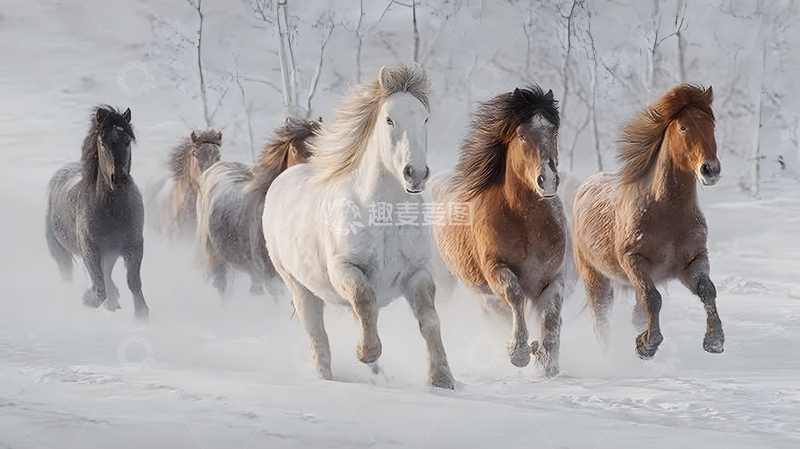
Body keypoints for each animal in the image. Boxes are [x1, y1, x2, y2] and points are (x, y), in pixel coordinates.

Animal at [45, 105, 149, 320]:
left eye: (127, 141)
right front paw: (100, 304)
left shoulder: (133, 246)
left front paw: (142, 314)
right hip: (62, 253)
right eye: (102, 142)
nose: (119, 178)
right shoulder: (91, 251)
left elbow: (133, 281)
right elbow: (101, 286)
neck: (113, 212)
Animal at [262, 65, 455, 389]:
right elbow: (365, 300)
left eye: (425, 118)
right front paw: (367, 352)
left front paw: (442, 379)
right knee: (318, 339)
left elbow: (430, 321)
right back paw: (330, 378)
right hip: (300, 288)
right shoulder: (345, 269)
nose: (415, 174)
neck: (384, 218)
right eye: (389, 119)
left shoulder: (417, 273)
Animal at [430, 86, 566, 377]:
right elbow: (515, 296)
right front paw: (520, 352)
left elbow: (551, 315)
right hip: (445, 278)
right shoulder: (496, 270)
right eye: (522, 135)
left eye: (554, 132)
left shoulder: (553, 277)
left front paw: (547, 361)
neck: (528, 225)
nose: (548, 180)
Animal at [571, 84, 724, 359]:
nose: (710, 170)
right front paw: (647, 345)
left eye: (711, 125)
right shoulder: (634, 260)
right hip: (595, 277)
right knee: (601, 321)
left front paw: (714, 340)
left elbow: (708, 290)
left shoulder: (693, 261)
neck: (667, 214)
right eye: (683, 127)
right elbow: (652, 297)